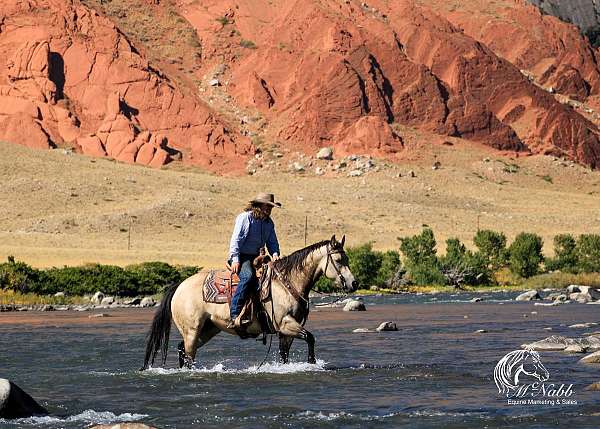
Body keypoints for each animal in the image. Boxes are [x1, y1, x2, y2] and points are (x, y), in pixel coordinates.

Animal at [141, 234, 356, 368]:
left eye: (347, 259)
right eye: (338, 261)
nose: (353, 283)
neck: (287, 283)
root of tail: (180, 286)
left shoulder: (286, 331)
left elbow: (284, 355)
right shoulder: (285, 324)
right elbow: (310, 337)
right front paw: (312, 362)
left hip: (208, 329)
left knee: (182, 350)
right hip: (192, 330)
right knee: (187, 352)